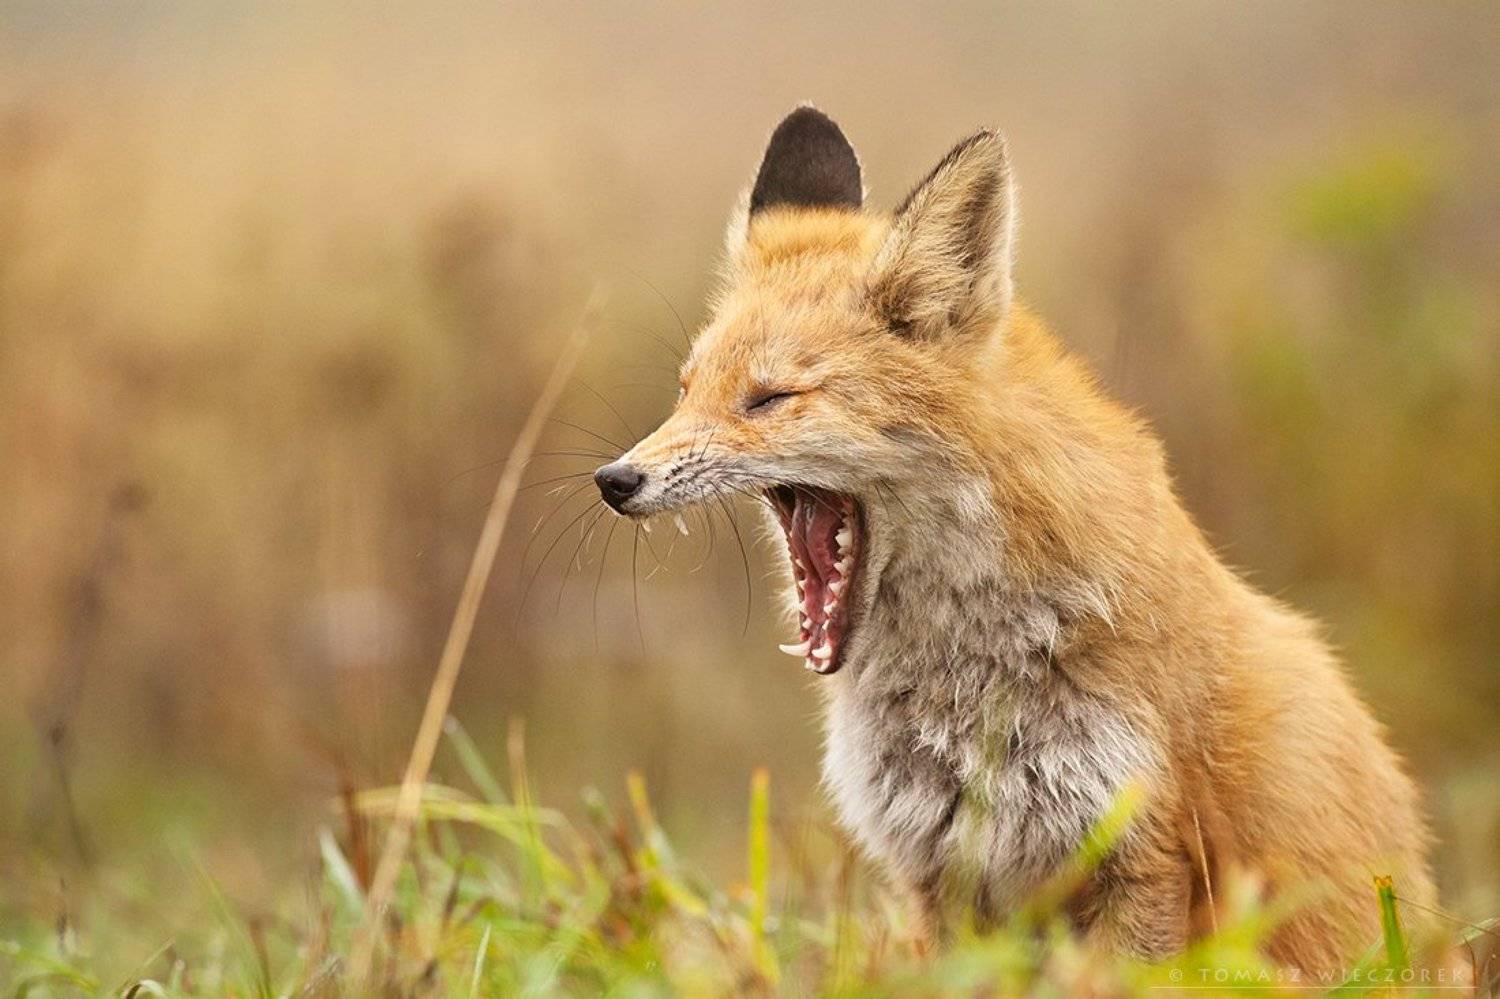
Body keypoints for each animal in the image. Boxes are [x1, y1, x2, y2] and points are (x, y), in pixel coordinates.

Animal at [591, 106, 1434, 972]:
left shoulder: (1140, 849)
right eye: (686, 390)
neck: (965, 687)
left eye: (769, 398)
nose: (615, 480)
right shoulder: (938, 862)